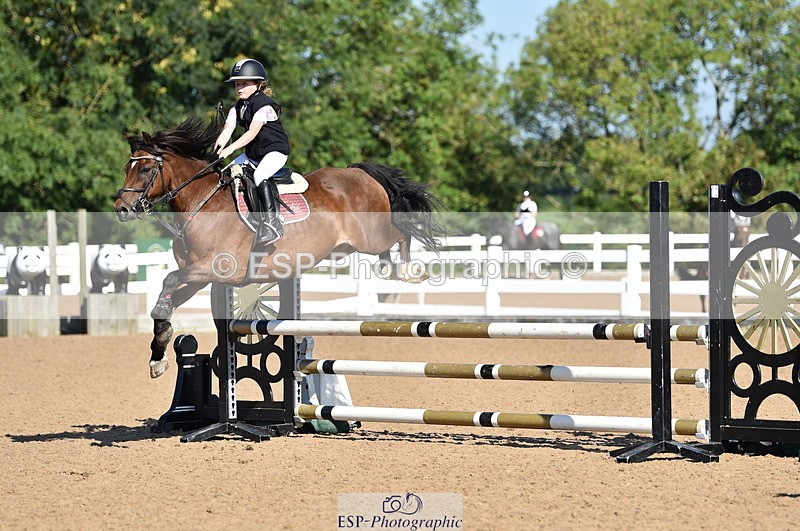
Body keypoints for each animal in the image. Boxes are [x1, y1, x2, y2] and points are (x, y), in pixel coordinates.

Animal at [114, 114, 444, 378]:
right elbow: (167, 297)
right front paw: (158, 357)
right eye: (127, 168)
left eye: (145, 170)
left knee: (401, 233)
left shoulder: (216, 269)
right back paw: (393, 271)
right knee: (388, 251)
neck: (201, 204)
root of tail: (359, 172)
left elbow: (168, 281)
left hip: (371, 236)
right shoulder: (198, 276)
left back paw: (410, 272)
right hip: (350, 246)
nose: (121, 209)